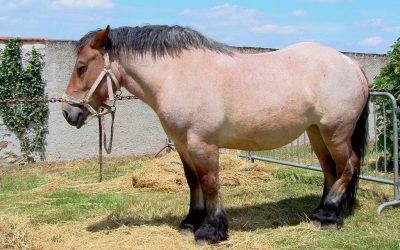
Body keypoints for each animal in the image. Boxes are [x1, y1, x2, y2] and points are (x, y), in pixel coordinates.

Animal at [61, 25, 368, 244]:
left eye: (82, 67)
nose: (68, 113)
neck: (177, 76)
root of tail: (351, 64)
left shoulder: (203, 144)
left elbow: (210, 183)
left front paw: (211, 230)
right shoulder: (183, 145)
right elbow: (193, 182)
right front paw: (190, 222)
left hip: (335, 133)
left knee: (348, 166)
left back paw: (329, 217)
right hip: (316, 133)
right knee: (330, 169)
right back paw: (322, 212)